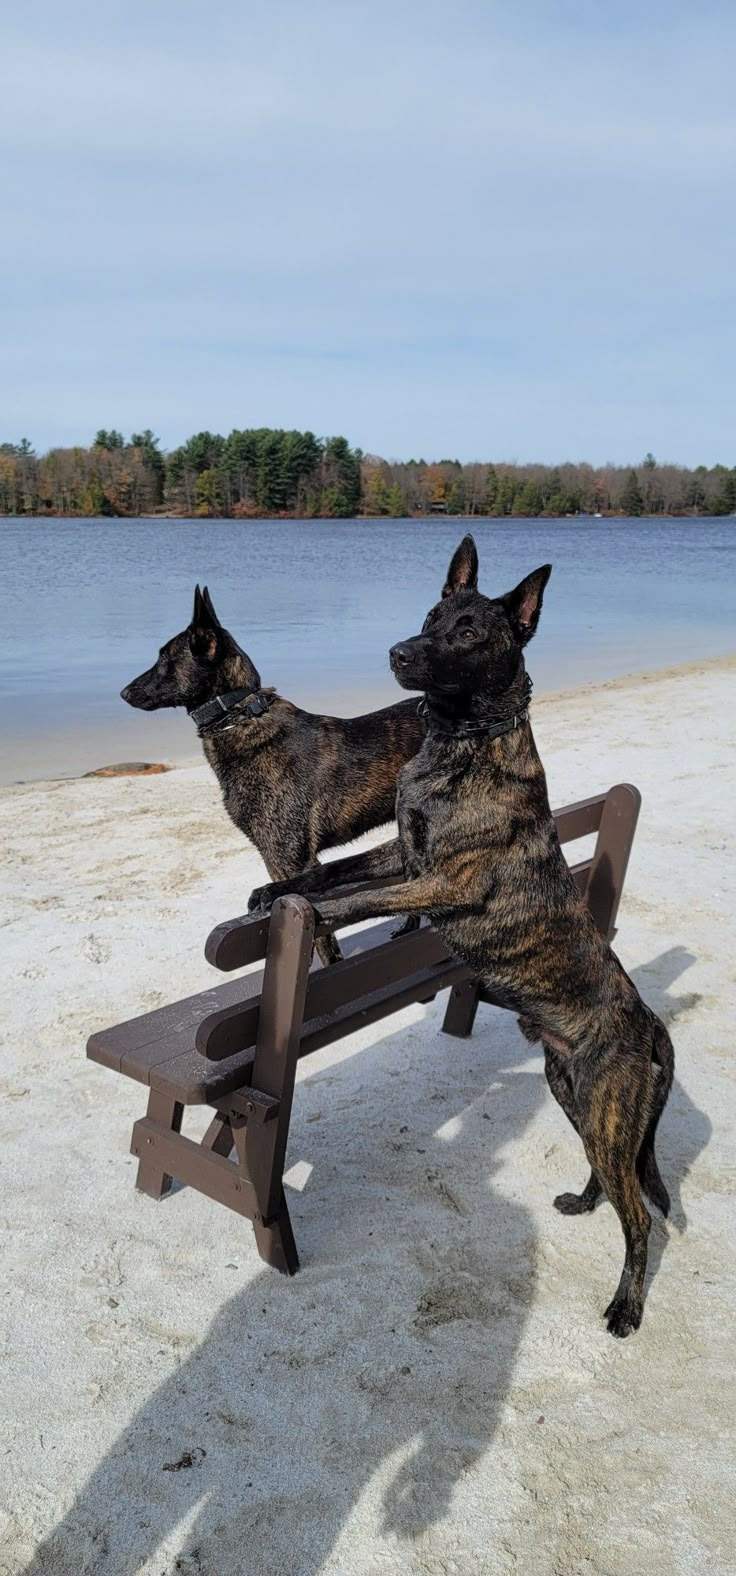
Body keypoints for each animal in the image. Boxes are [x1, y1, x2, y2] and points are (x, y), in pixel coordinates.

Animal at [118, 586, 422, 964]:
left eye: (164, 659)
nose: (124, 693)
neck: (238, 715)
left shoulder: (289, 858)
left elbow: (324, 943)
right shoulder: (278, 859)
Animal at [250, 542, 677, 1342]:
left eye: (471, 632)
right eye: (431, 615)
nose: (398, 651)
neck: (463, 743)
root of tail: (651, 1024)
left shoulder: (440, 881)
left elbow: (354, 899)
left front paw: (307, 916)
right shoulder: (402, 853)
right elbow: (332, 869)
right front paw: (273, 895)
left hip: (606, 1108)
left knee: (643, 1220)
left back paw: (627, 1306)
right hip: (579, 1098)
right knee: (617, 1181)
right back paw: (585, 1201)